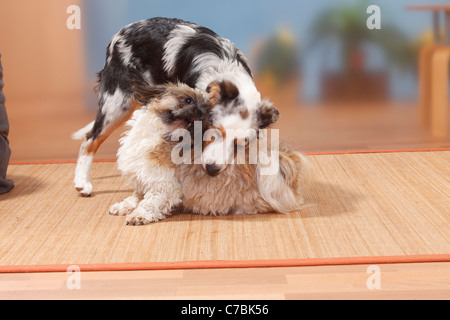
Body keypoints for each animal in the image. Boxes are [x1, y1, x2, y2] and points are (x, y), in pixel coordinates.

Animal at [110, 84, 312, 226]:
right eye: (188, 100)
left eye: (204, 112)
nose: (199, 112)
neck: (158, 136)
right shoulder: (142, 177)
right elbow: (136, 195)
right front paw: (124, 206)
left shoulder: (164, 186)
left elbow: (149, 202)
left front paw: (138, 215)